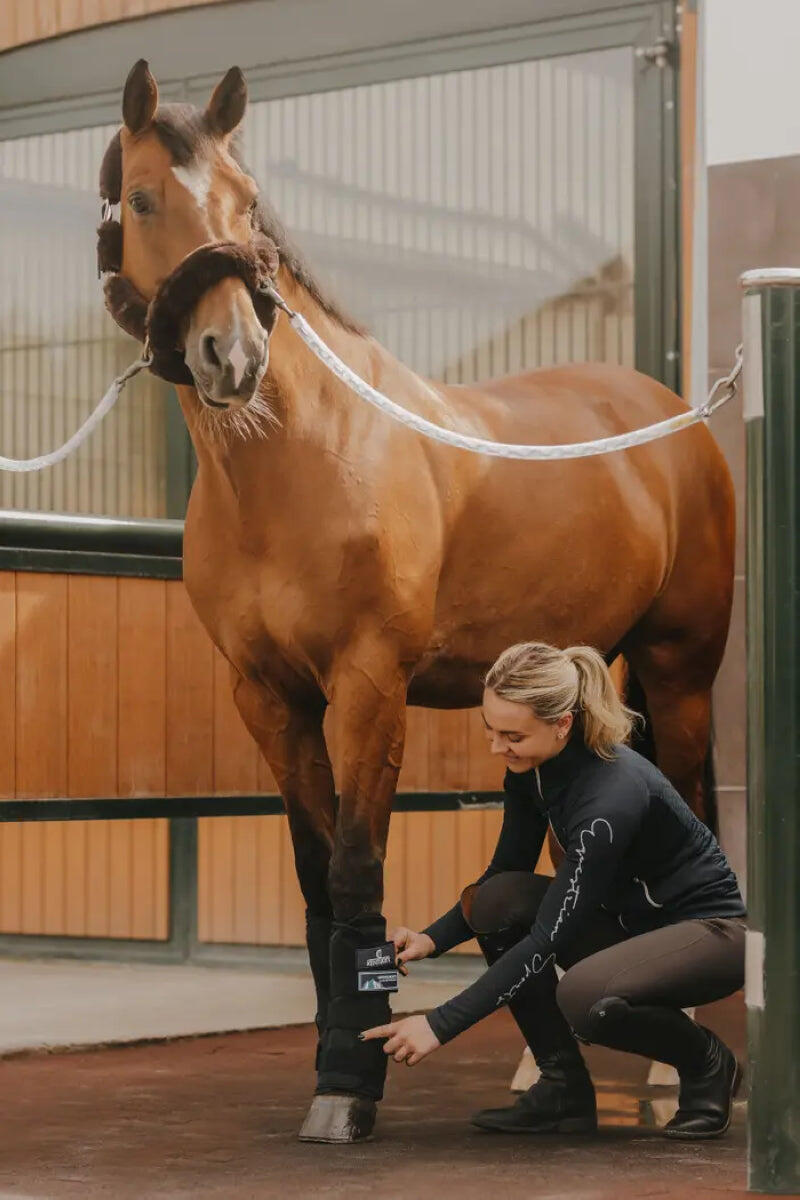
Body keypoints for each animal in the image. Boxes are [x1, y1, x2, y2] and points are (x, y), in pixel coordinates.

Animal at [98, 60, 735, 1143]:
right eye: (144, 199)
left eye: (247, 205)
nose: (234, 356)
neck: (298, 459)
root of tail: (668, 418)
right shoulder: (267, 697)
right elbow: (317, 879)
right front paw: (338, 1061)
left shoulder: (368, 685)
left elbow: (358, 866)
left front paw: (350, 1085)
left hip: (681, 670)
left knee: (692, 818)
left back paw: (680, 1071)